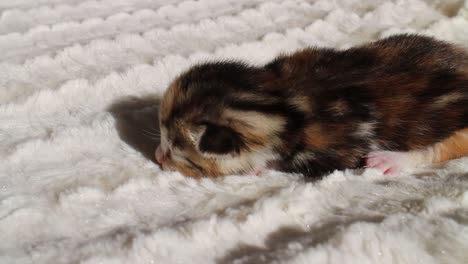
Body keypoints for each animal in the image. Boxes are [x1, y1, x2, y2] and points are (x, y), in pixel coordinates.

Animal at [154, 33, 468, 177]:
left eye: (175, 153)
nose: (157, 156)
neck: (279, 100)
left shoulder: (337, 148)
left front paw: (259, 167)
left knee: (444, 147)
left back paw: (391, 160)